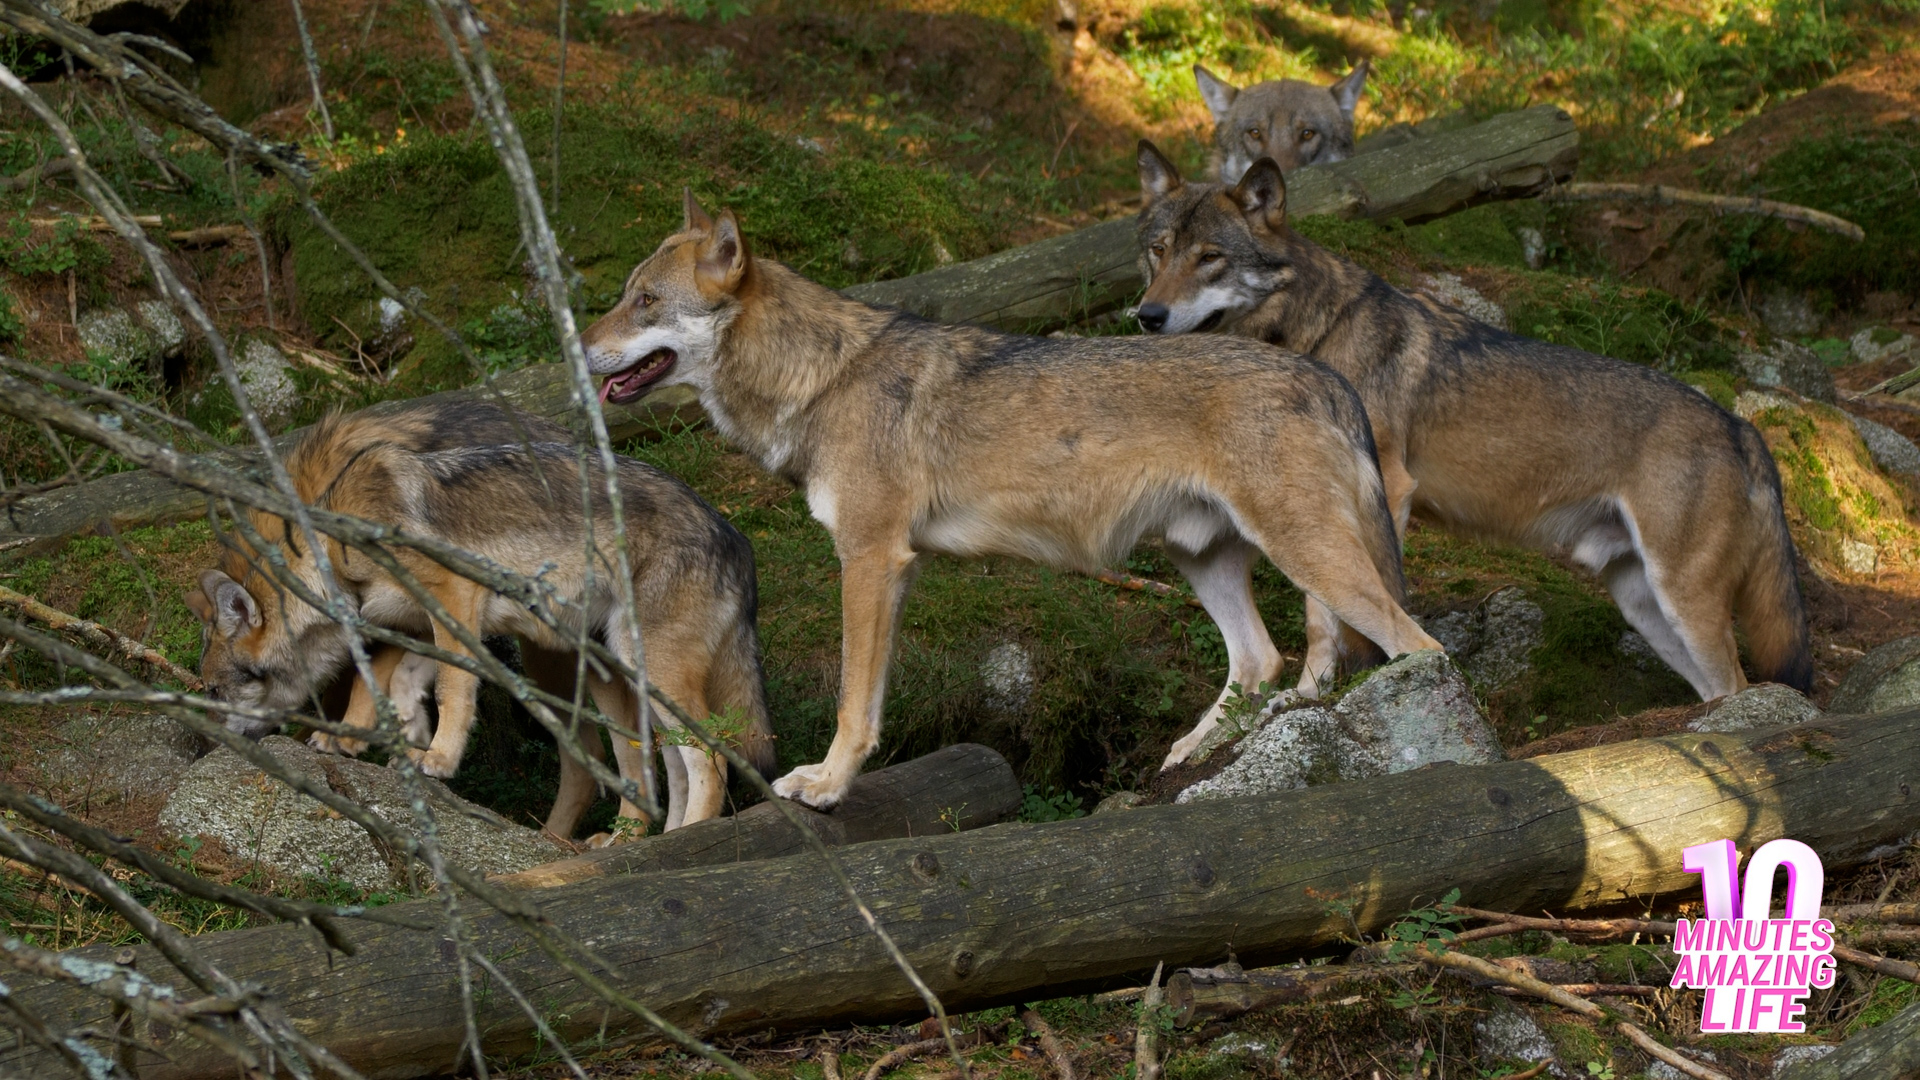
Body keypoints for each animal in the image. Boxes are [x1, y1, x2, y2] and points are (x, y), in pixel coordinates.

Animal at [184, 397, 775, 833]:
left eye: (213, 691)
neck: (332, 550)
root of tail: (736, 538)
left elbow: (450, 687)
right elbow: (390, 680)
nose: (204, 750)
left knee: (708, 759)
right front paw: (386, 739)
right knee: (666, 766)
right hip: (626, 670)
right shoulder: (419, 622)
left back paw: (684, 838)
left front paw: (438, 757)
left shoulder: (455, 596)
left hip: (629, 665)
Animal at [580, 190, 1441, 803]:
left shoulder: (870, 558)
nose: (578, 347)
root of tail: (1326, 378)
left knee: (1418, 647)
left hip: (1307, 558)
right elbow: (868, 699)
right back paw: (1184, 760)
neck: (821, 378)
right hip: (1203, 559)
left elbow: (853, 704)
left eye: (645, 301)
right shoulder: (893, 567)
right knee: (1259, 659)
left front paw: (825, 785)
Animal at [1132, 143, 1813, 701]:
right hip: (1645, 606)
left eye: (1210, 258)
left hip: (1683, 602)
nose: (1147, 315)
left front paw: (1318, 694)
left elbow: (1332, 615)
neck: (1314, 332)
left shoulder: (1384, 491)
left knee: (1742, 682)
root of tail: (1743, 428)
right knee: (1717, 687)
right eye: (1157, 253)